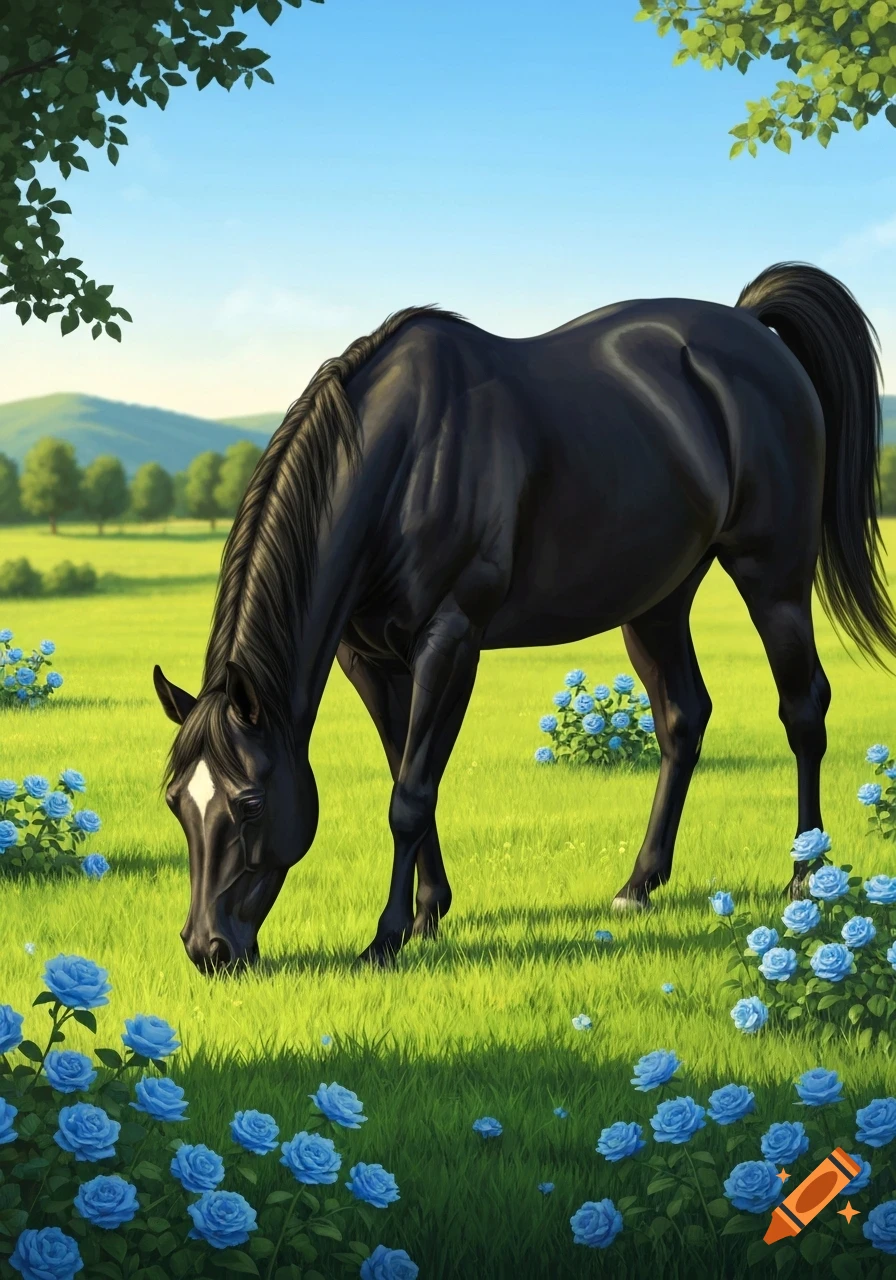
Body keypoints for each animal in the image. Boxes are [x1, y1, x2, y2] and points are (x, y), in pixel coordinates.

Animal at [154, 261, 896, 974]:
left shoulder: (451, 641)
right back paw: (639, 885)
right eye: (174, 801)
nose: (207, 950)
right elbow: (406, 772)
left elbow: (410, 794)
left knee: (803, 709)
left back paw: (804, 877)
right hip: (656, 601)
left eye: (249, 802)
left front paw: (387, 939)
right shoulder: (366, 658)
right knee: (682, 717)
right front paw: (429, 914)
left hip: (772, 578)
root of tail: (751, 327)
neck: (405, 460)